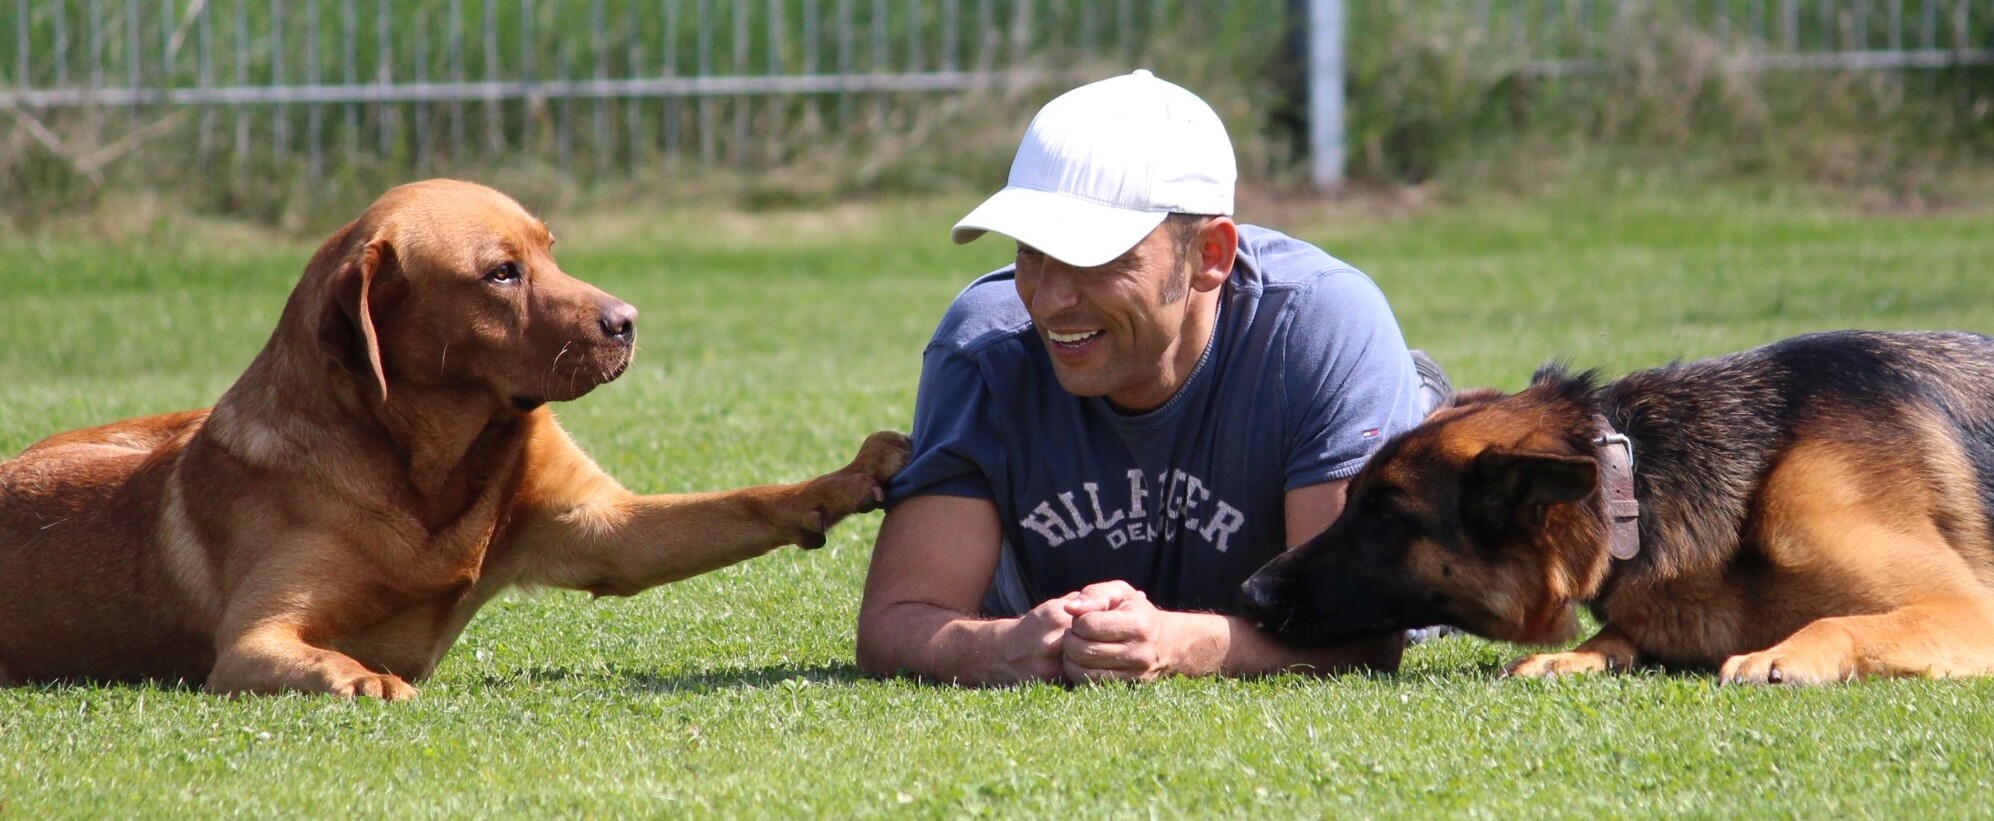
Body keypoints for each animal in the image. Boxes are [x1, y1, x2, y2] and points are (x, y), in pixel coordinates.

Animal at [0, 179, 913, 697]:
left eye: (551, 250)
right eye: (501, 274)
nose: (628, 321)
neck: (430, 466)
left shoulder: (604, 529)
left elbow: (751, 501)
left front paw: (850, 475)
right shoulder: (254, 639)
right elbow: (315, 658)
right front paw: (368, 680)